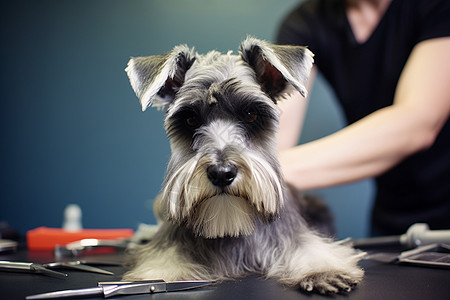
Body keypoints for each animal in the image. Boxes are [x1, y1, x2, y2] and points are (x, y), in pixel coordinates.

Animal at [123, 37, 366, 292]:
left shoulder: (293, 235)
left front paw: (323, 270)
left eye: (250, 115)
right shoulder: (169, 243)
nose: (221, 173)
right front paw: (161, 274)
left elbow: (309, 246)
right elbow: (165, 258)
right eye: (191, 119)